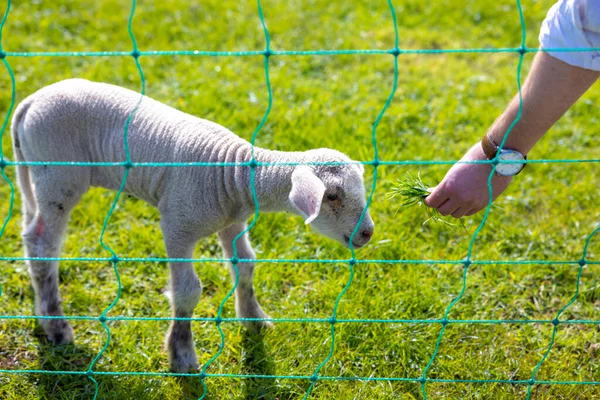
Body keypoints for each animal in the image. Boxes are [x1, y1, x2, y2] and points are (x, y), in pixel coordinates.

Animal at [10, 78, 376, 372]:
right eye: (332, 196)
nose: (367, 233)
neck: (234, 174)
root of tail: (30, 101)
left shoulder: (232, 220)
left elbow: (245, 265)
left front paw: (254, 319)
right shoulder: (177, 224)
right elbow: (188, 292)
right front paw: (182, 355)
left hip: (36, 175)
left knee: (29, 234)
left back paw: (42, 313)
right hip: (59, 175)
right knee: (43, 244)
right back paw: (57, 327)